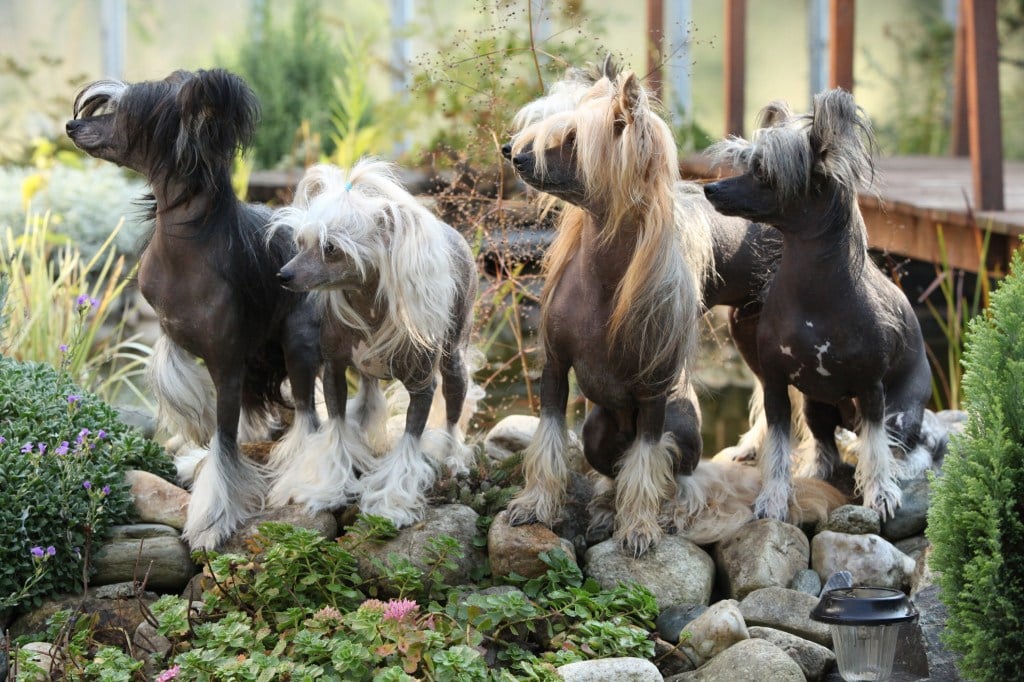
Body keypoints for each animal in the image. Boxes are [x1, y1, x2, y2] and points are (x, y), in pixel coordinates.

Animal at [272, 159, 479, 524]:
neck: (368, 305)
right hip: (366, 369)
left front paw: (392, 502)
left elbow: (410, 442)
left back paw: (452, 456)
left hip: (454, 358)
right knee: (368, 395)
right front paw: (328, 488)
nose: (283, 275)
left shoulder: (422, 387)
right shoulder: (334, 371)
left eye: (330, 248)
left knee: (453, 414)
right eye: (302, 241)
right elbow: (337, 428)